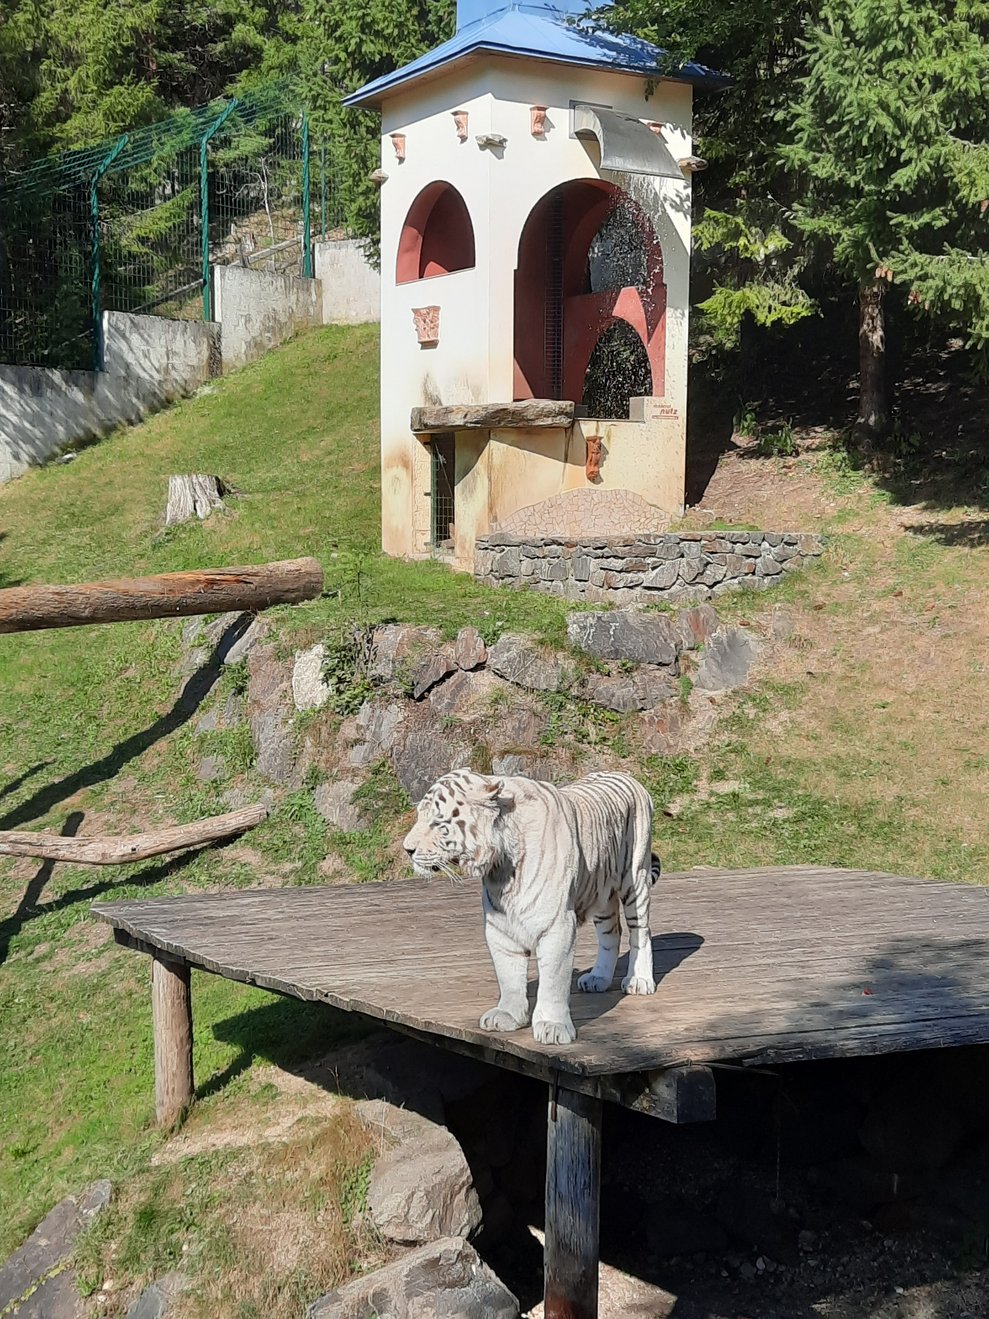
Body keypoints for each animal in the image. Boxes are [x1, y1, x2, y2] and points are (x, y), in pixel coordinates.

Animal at [402, 768, 660, 1046]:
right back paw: (598, 978)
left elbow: (553, 981)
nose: (407, 849)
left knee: (640, 931)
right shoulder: (500, 928)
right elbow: (509, 976)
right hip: (601, 891)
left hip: (635, 878)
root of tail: (626, 775)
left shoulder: (557, 926)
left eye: (437, 822)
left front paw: (552, 1027)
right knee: (611, 933)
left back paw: (639, 980)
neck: (500, 868)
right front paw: (507, 1015)